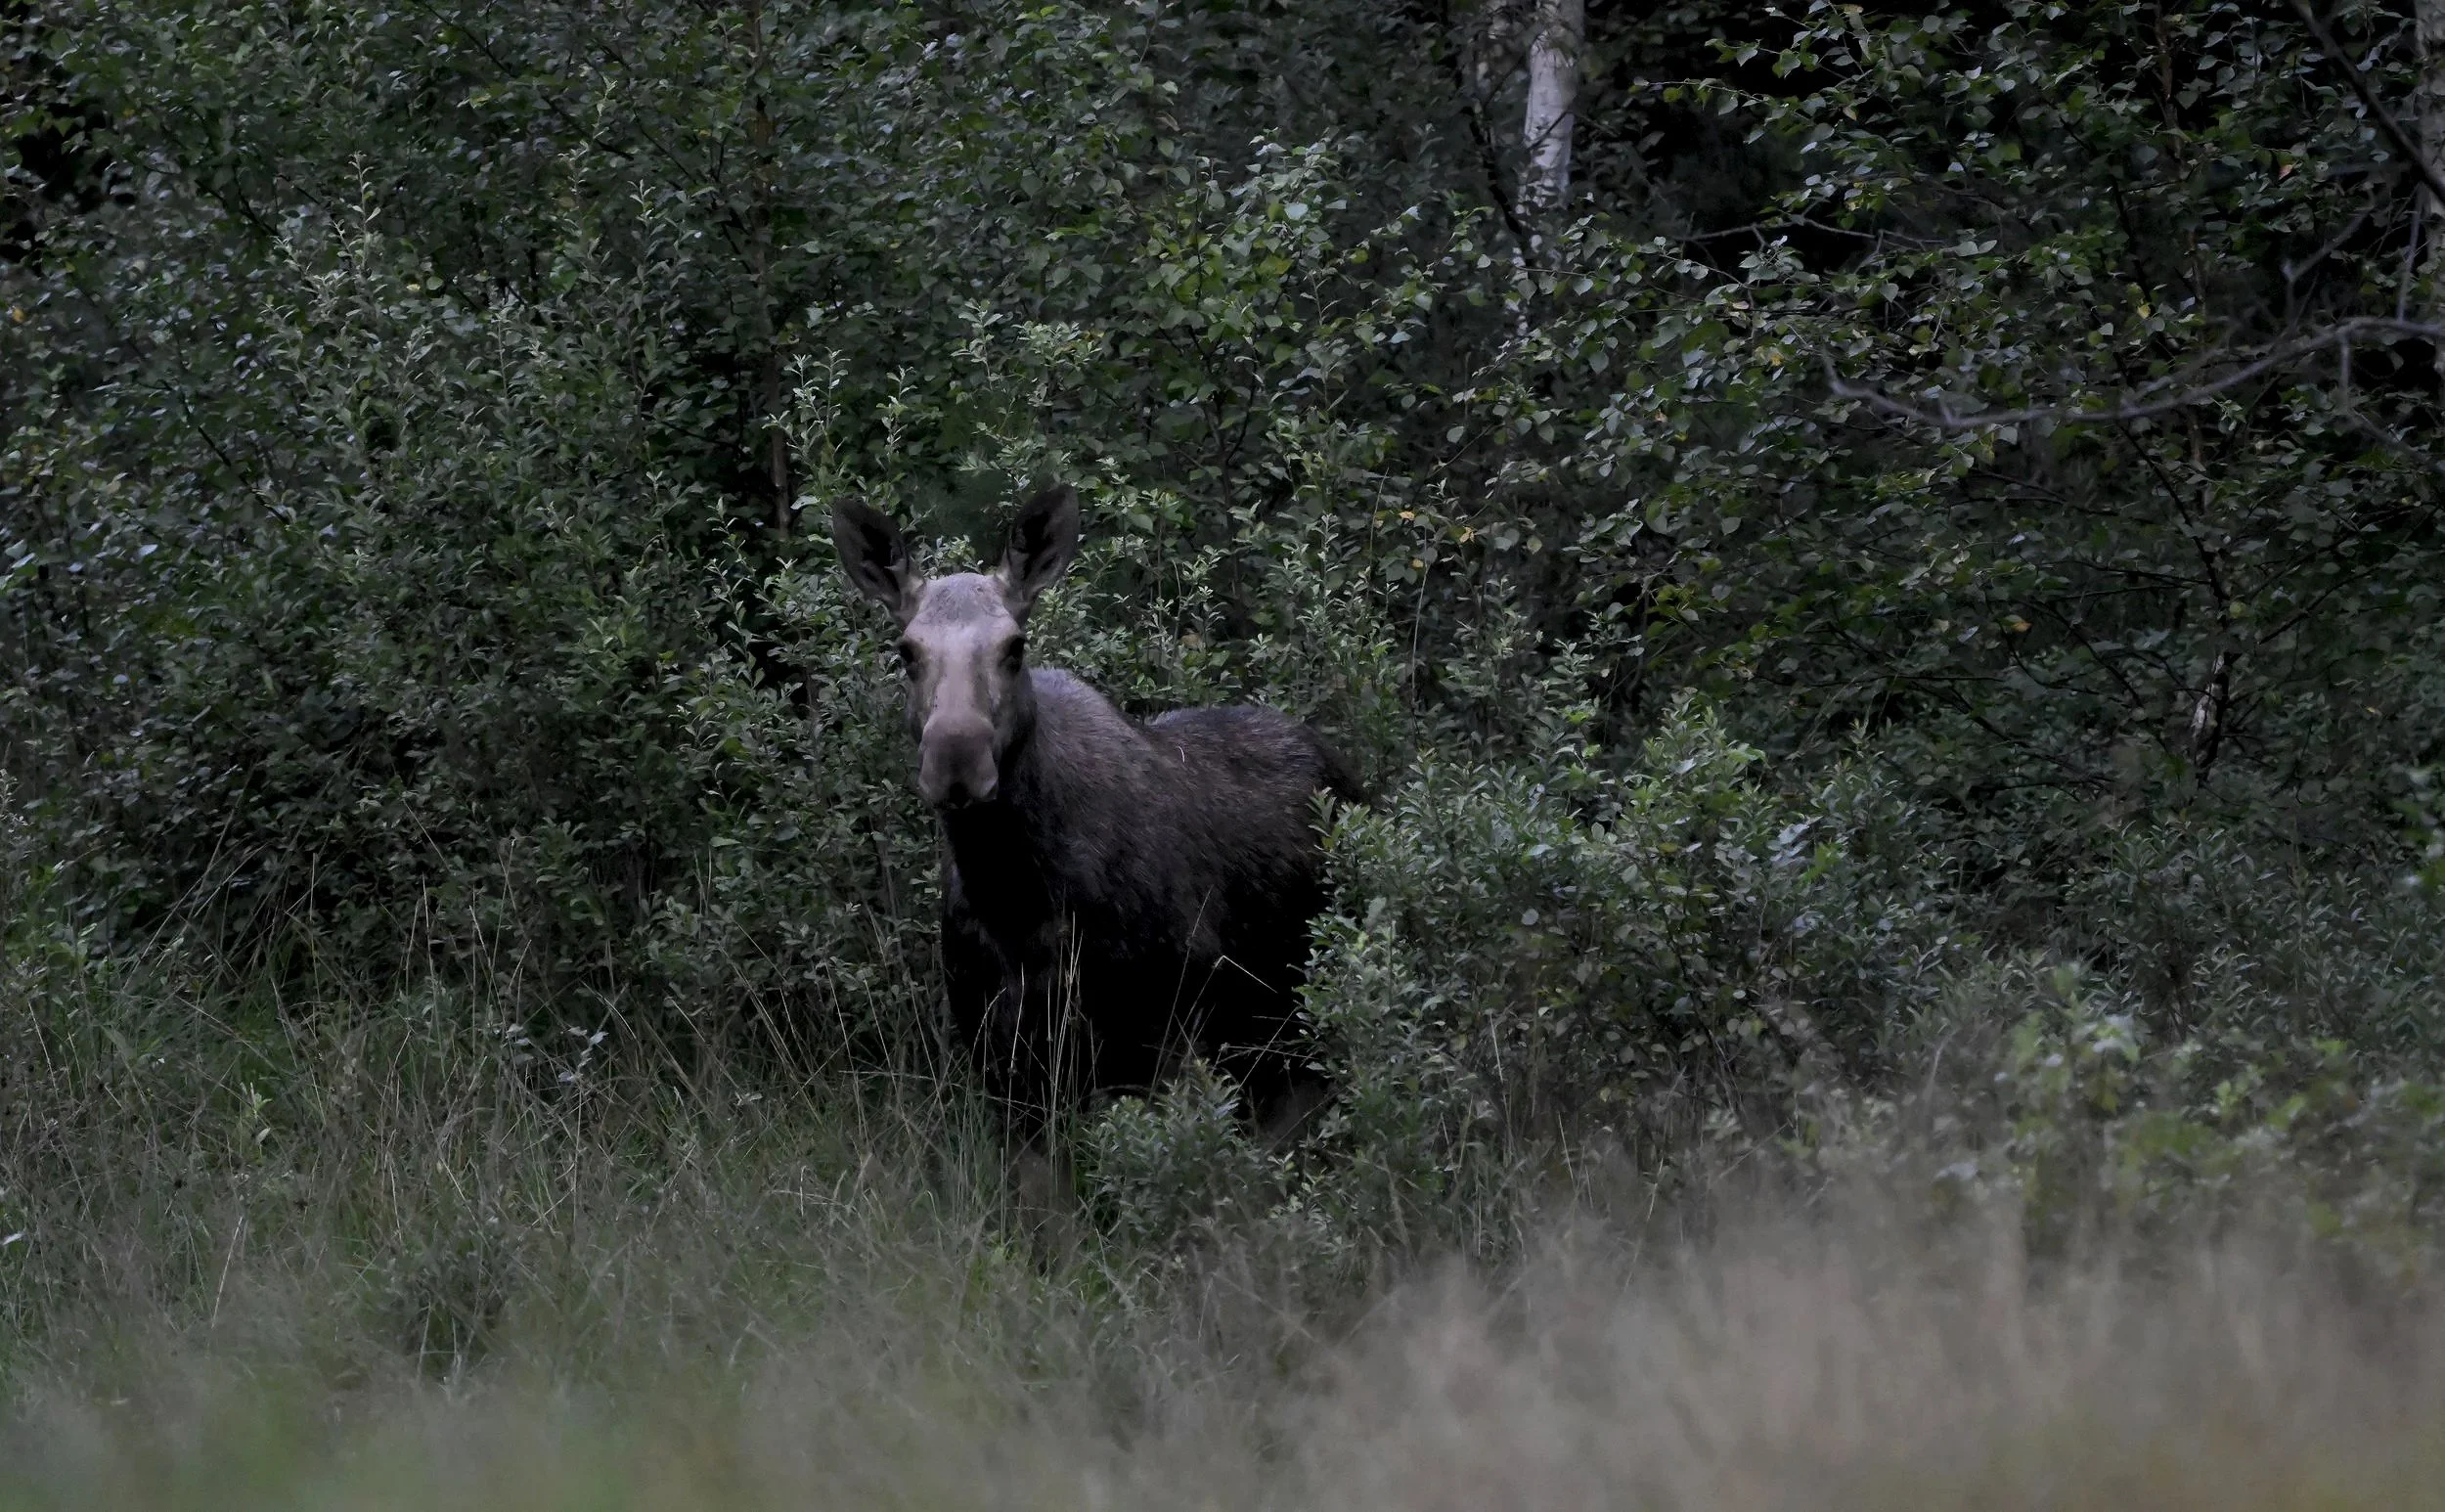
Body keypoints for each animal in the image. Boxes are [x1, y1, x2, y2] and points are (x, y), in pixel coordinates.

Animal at [831, 484, 1360, 1140]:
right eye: (906, 651)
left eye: (1015, 646)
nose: (956, 760)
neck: (1012, 893)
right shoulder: (999, 1057)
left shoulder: (1160, 1033)